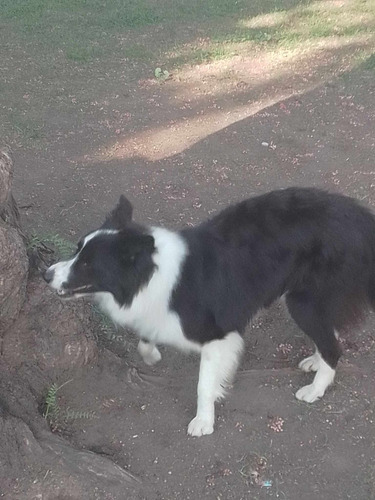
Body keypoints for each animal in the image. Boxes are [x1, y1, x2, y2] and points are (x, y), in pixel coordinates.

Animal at [42, 189, 375, 436]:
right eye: (77, 250)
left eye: (88, 264)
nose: (46, 274)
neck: (149, 273)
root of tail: (357, 215)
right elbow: (146, 339)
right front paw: (152, 355)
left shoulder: (218, 335)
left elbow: (203, 384)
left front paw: (204, 420)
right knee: (328, 333)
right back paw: (314, 361)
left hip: (303, 303)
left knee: (333, 346)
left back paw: (315, 388)